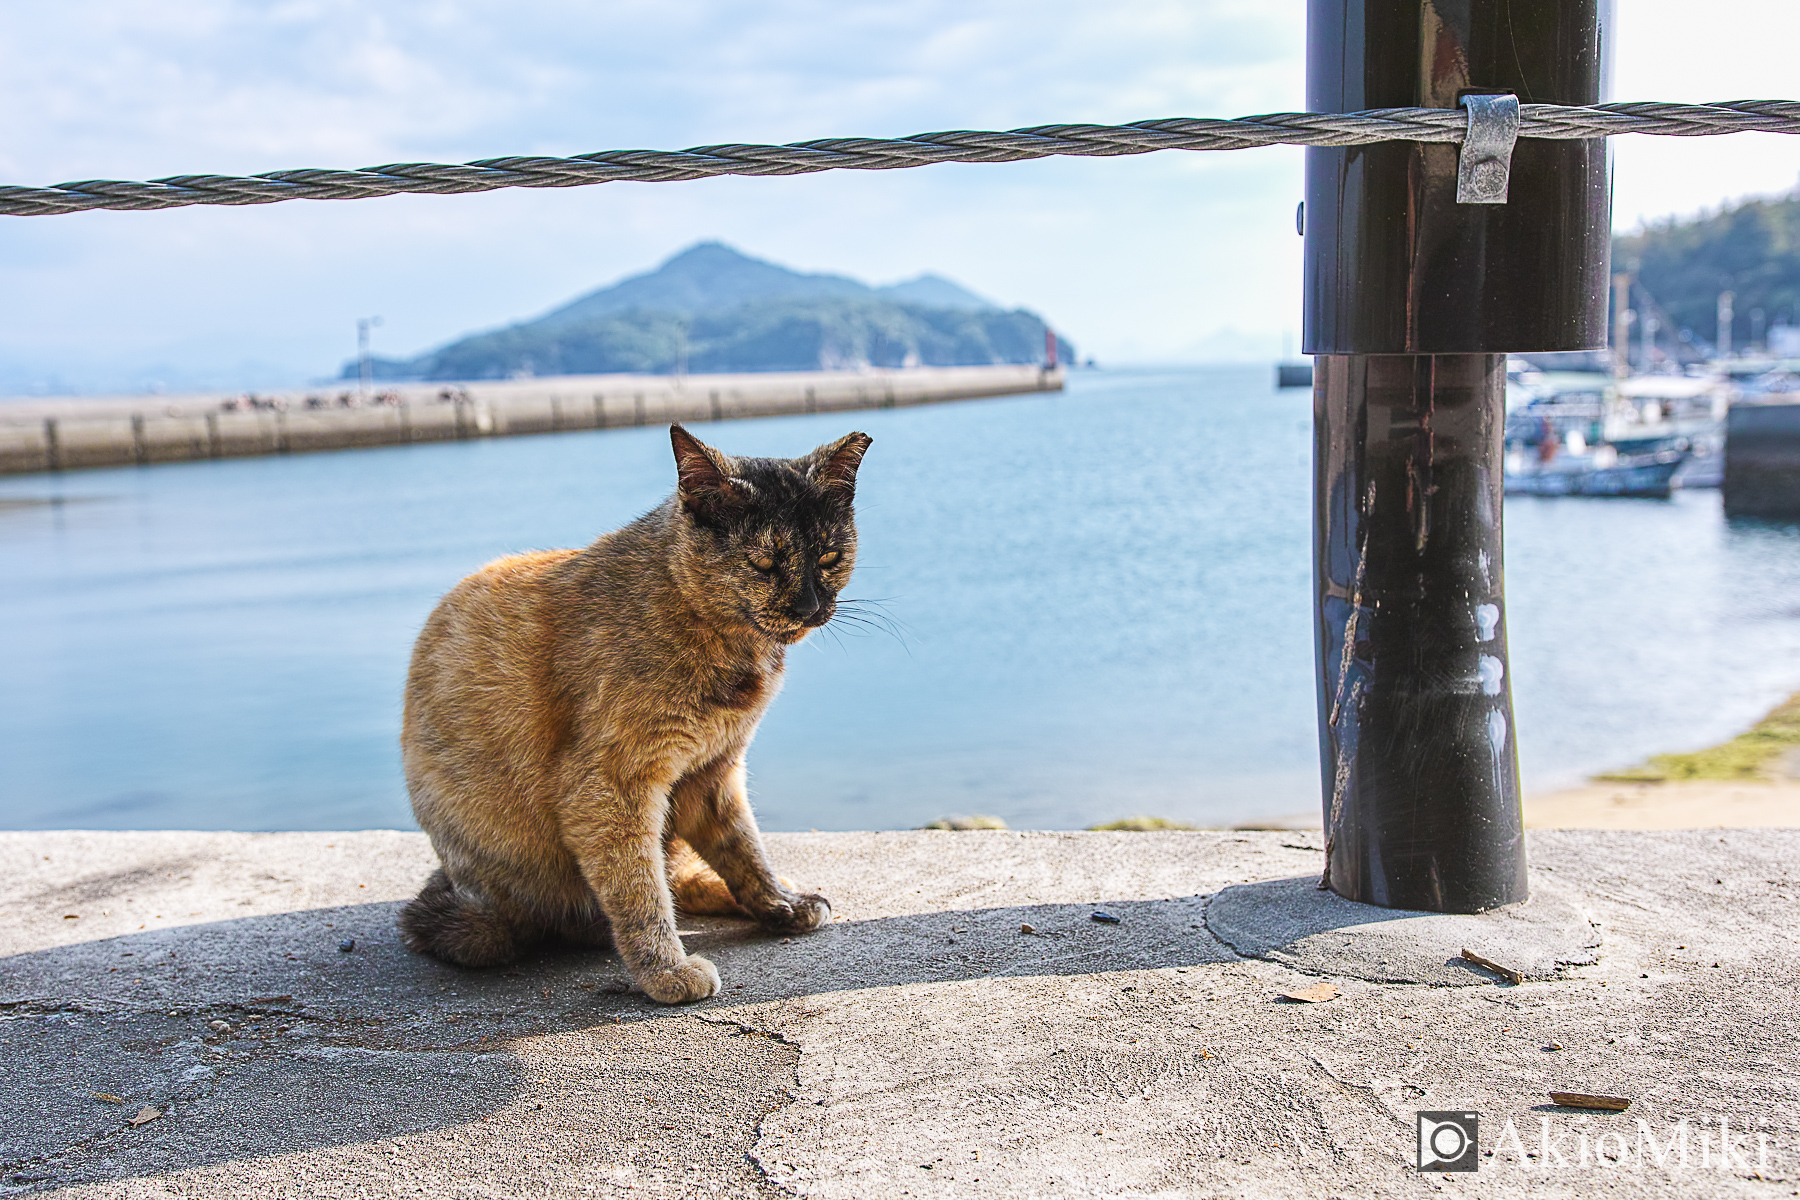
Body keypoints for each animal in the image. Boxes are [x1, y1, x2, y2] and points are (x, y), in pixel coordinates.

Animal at [399, 422, 871, 1007]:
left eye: (829, 556)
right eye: (763, 562)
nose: (810, 606)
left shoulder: (712, 771)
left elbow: (743, 847)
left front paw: (777, 902)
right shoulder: (610, 787)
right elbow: (639, 890)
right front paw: (665, 971)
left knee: (683, 872)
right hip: (495, 909)